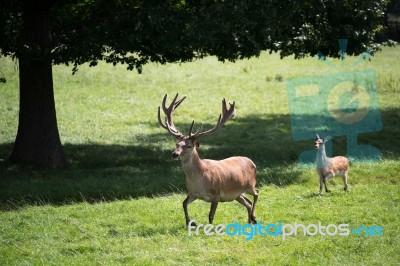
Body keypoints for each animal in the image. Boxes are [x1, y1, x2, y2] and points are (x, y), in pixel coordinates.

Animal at [158, 93, 258, 227]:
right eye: (177, 144)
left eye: (189, 146)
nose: (174, 154)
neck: (200, 182)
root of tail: (252, 162)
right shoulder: (192, 193)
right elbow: (184, 204)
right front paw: (190, 223)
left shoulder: (216, 194)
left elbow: (211, 215)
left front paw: (210, 228)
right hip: (237, 194)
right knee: (248, 202)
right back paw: (250, 221)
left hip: (250, 185)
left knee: (256, 193)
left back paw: (253, 217)